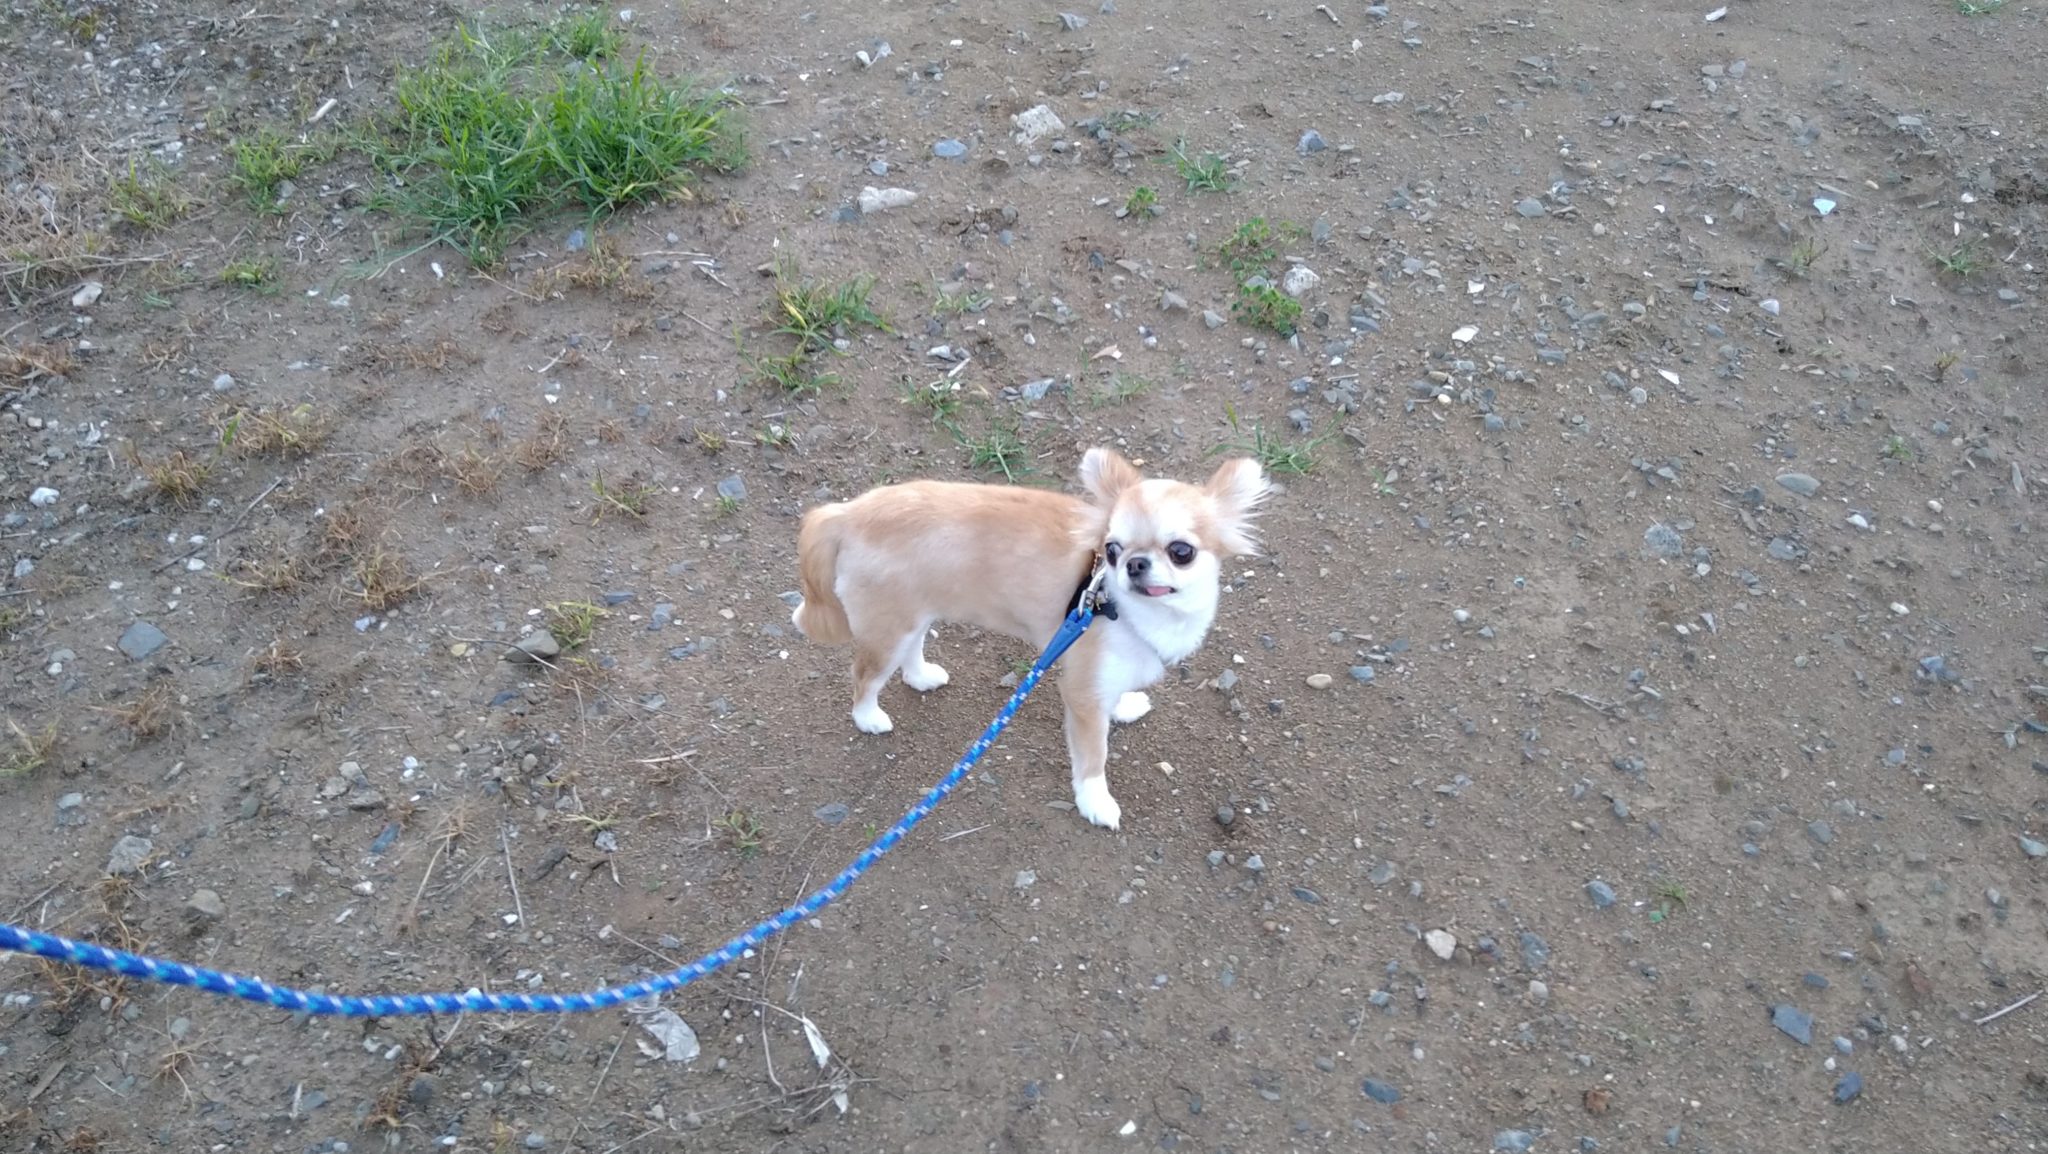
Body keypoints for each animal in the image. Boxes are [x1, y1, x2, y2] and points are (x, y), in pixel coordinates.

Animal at [790, 447, 1271, 829]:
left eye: (1181, 552)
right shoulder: (1081, 692)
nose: (1133, 564)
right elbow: (1093, 756)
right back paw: (868, 717)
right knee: (865, 677)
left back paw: (921, 676)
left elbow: (1115, 696)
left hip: (914, 614)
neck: (1135, 613)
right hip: (888, 629)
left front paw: (1124, 707)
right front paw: (1095, 802)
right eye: (1111, 549)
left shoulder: (1104, 676)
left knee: (911, 651)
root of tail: (847, 513)